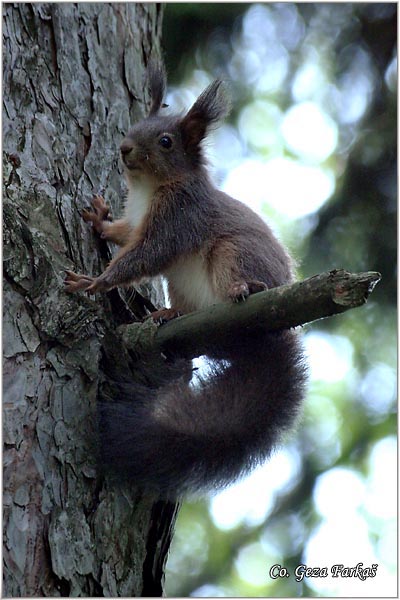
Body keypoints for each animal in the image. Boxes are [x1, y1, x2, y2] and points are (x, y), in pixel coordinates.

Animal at [65, 64, 308, 496]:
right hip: (181, 285)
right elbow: (126, 236)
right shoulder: (138, 220)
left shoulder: (178, 217)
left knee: (239, 276)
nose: (124, 148)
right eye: (134, 125)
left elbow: (145, 256)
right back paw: (167, 314)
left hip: (233, 254)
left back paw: (243, 289)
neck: (149, 189)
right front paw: (100, 221)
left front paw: (95, 282)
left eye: (166, 142)